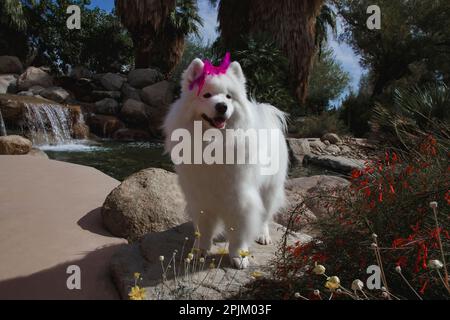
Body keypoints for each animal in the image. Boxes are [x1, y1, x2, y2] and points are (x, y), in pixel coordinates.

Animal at [163, 56, 288, 268]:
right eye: (207, 95)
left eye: (229, 97)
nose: (222, 106)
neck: (213, 142)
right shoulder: (201, 197)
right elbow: (204, 229)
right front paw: (200, 251)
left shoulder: (239, 199)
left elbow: (239, 232)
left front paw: (239, 256)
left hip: (269, 188)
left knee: (265, 215)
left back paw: (263, 235)